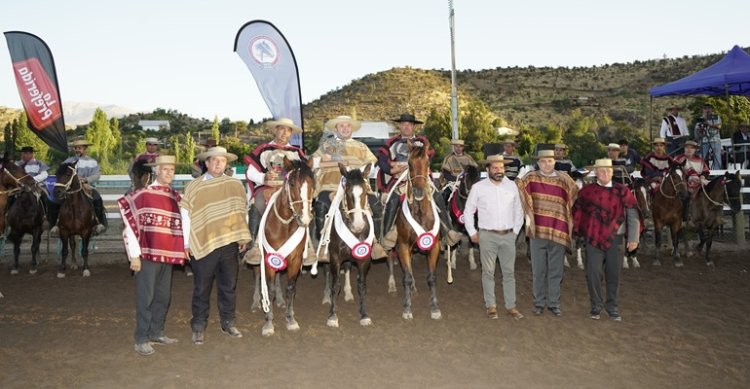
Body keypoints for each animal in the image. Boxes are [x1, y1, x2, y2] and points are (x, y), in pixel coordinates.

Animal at [258, 156, 316, 334]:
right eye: (291, 183)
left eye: (312, 184)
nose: (305, 218)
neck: (284, 225)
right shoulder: (269, 260)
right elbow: (269, 289)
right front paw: (268, 322)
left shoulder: (295, 261)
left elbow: (290, 288)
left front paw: (290, 319)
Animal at [318, 162, 374, 326]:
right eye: (348, 192)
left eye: (365, 191)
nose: (358, 225)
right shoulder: (335, 257)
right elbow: (335, 284)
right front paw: (332, 316)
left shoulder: (364, 258)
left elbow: (361, 285)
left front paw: (364, 315)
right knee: (326, 271)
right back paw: (326, 297)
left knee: (348, 267)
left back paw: (348, 293)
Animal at [390, 142, 444, 318]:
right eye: (409, 163)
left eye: (427, 163)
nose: (419, 192)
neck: (420, 214)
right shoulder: (402, 246)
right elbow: (406, 276)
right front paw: (407, 308)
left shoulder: (434, 246)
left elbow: (431, 277)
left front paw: (435, 307)